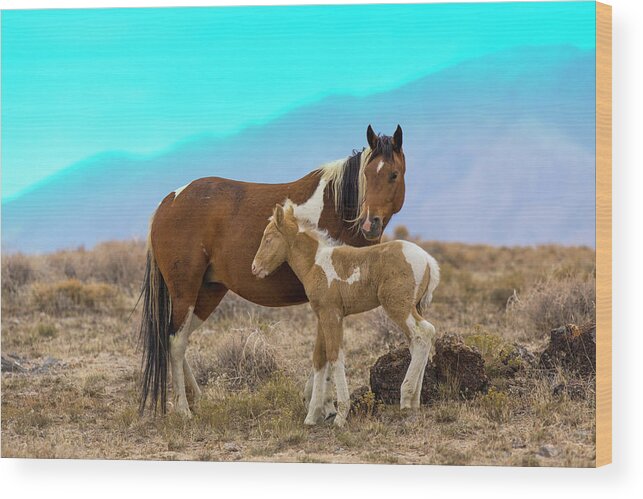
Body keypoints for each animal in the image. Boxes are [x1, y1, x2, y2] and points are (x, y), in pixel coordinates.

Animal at [141, 126, 408, 418]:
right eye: (367, 175)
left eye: (394, 174)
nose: (370, 224)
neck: (337, 209)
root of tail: (169, 202)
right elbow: (326, 349)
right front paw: (322, 405)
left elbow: (324, 348)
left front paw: (321, 403)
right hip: (185, 291)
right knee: (176, 342)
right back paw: (183, 410)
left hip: (208, 292)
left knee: (178, 338)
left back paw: (195, 398)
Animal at [254, 203, 440, 426]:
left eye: (268, 238)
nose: (255, 267)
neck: (315, 262)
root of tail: (428, 260)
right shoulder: (322, 316)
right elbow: (319, 358)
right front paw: (313, 415)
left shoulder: (332, 314)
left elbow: (335, 355)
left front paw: (341, 414)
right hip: (414, 308)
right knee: (420, 340)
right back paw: (415, 401)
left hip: (398, 307)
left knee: (423, 335)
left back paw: (406, 398)